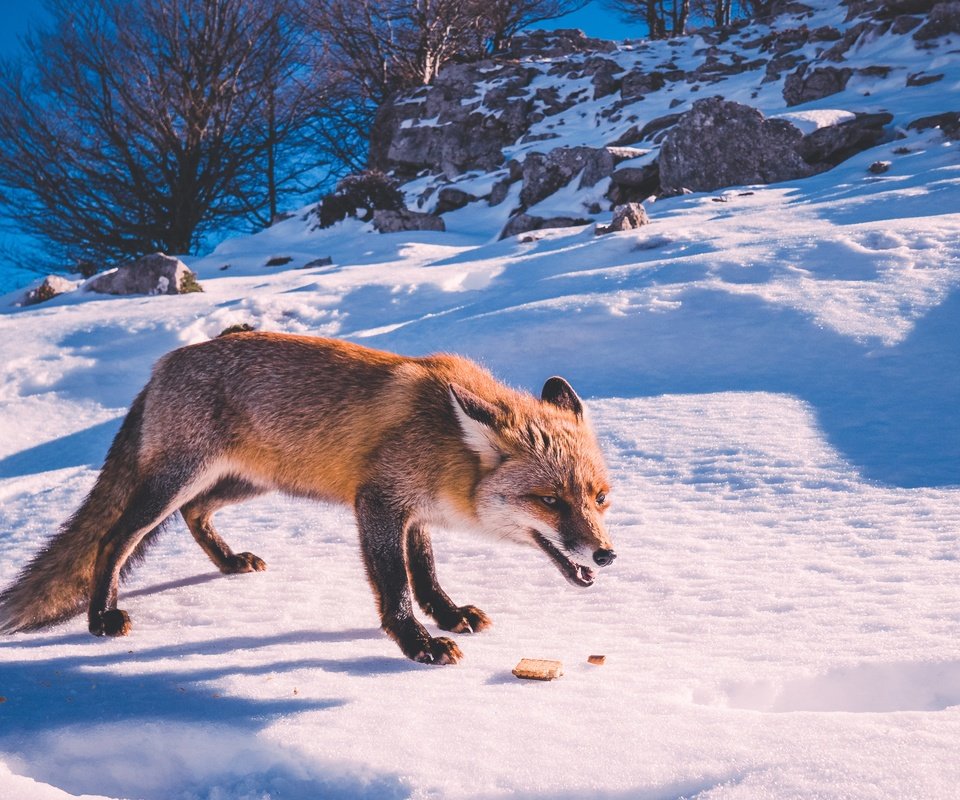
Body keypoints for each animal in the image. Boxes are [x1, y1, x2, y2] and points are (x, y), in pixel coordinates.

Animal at [0, 332, 616, 664]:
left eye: (600, 498)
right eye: (550, 501)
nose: (606, 554)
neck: (446, 443)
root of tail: (162, 366)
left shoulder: (412, 510)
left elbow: (425, 572)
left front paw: (447, 615)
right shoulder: (379, 502)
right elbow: (395, 585)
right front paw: (417, 643)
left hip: (244, 482)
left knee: (196, 514)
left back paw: (229, 563)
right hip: (178, 479)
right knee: (114, 538)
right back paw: (101, 616)